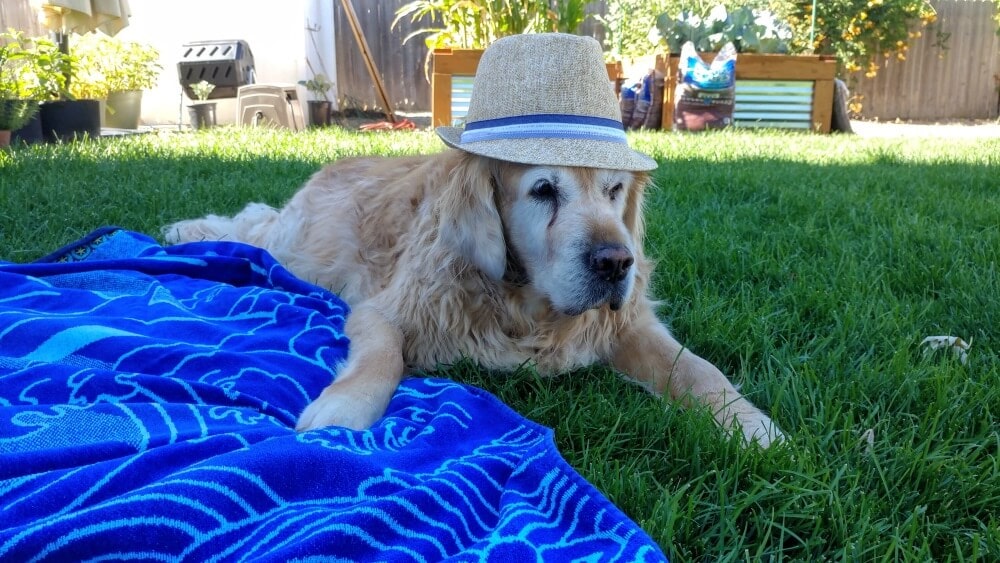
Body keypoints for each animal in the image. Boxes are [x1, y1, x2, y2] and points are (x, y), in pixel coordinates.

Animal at [162, 33, 780, 448]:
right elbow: (381, 354)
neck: (526, 306)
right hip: (298, 246)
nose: (615, 262)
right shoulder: (387, 308)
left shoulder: (628, 322)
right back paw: (183, 231)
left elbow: (698, 367)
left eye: (614, 190)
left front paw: (749, 422)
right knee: (252, 226)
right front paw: (344, 405)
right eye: (544, 190)